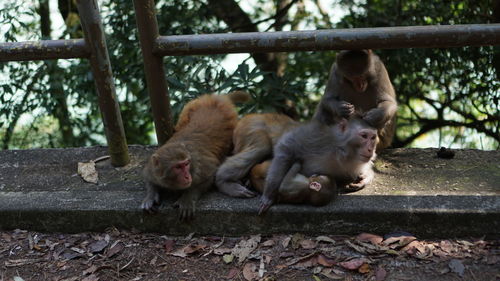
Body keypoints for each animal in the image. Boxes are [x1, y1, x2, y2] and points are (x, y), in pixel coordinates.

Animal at [141, 90, 250, 219]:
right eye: (178, 167)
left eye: (186, 163)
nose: (187, 177)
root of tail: (219, 98)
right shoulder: (153, 168)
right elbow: (148, 177)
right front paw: (150, 197)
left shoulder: (200, 166)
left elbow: (209, 178)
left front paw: (187, 198)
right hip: (191, 106)